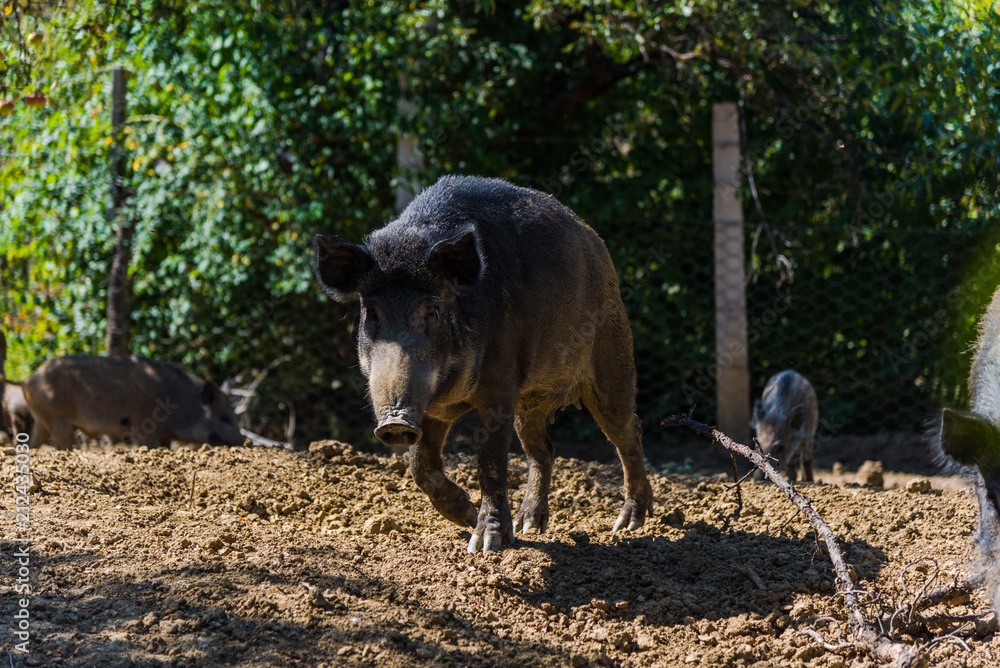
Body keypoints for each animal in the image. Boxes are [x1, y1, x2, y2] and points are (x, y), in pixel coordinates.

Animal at [22, 355, 244, 450]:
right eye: (225, 418)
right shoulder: (144, 428)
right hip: (57, 419)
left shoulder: (165, 435)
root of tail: (28, 380)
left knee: (32, 443)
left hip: (42, 420)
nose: (245, 441)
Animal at [314, 175, 653, 553]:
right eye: (371, 312)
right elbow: (420, 466)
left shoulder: (500, 385)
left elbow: (489, 459)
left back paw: (627, 526)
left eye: (432, 309)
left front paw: (485, 546)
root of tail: (595, 240)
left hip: (614, 361)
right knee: (544, 450)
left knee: (628, 431)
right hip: (530, 402)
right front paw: (465, 516)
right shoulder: (432, 406)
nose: (395, 422)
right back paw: (530, 525)